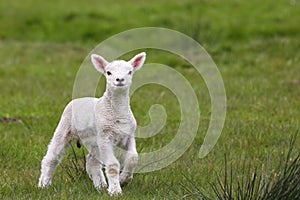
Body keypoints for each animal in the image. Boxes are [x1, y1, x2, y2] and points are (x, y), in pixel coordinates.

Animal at [38, 51, 146, 195]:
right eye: (108, 72)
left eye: (130, 72)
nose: (119, 80)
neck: (117, 114)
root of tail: (78, 98)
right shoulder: (105, 137)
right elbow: (113, 165)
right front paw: (115, 191)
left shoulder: (128, 136)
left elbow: (133, 158)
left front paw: (124, 180)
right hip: (64, 127)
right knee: (51, 158)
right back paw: (43, 185)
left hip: (94, 141)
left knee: (91, 163)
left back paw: (100, 186)